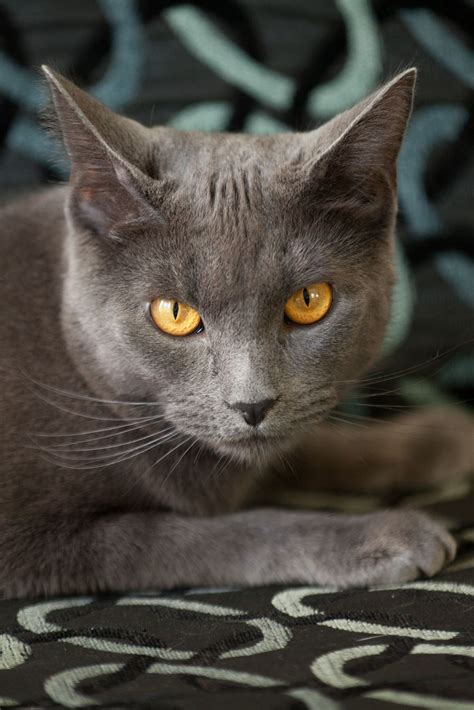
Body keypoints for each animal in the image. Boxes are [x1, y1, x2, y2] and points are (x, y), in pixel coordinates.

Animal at [0, 68, 470, 600]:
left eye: (309, 300)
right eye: (174, 313)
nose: (252, 404)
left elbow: (312, 445)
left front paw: (443, 437)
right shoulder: (34, 540)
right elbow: (210, 533)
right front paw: (384, 535)